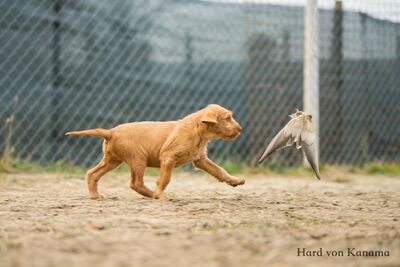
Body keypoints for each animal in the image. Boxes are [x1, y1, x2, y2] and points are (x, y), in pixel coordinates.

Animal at [65, 105, 244, 200]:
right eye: (227, 118)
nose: (240, 129)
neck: (197, 130)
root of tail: (111, 132)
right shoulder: (168, 157)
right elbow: (165, 179)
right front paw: (160, 193)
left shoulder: (200, 159)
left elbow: (219, 171)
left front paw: (235, 180)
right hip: (138, 159)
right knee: (135, 183)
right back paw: (154, 195)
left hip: (112, 160)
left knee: (92, 173)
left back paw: (95, 196)